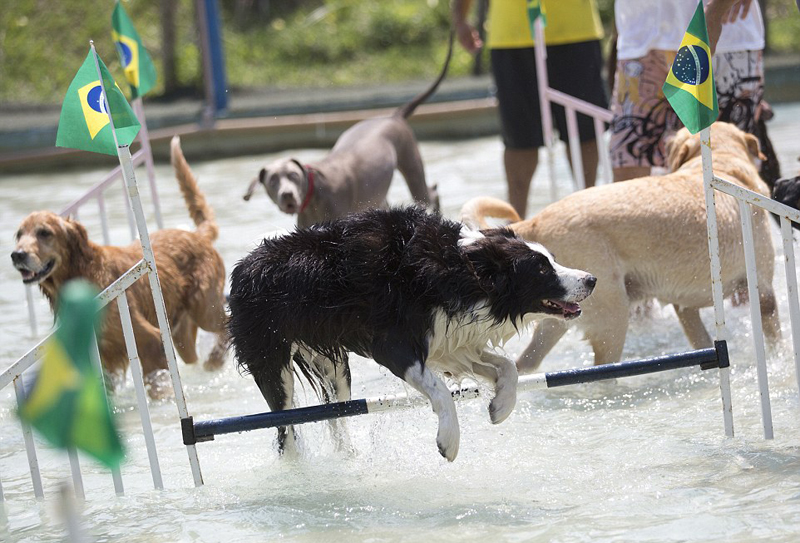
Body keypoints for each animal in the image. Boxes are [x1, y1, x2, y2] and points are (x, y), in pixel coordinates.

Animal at [228, 206, 596, 462]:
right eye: (541, 268)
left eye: (551, 258)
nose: (591, 279)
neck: (461, 269)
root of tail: (243, 265)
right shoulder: (392, 345)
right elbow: (440, 390)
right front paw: (449, 440)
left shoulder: (449, 340)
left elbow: (507, 367)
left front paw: (501, 406)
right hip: (273, 363)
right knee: (285, 427)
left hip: (335, 369)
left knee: (335, 415)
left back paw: (347, 457)